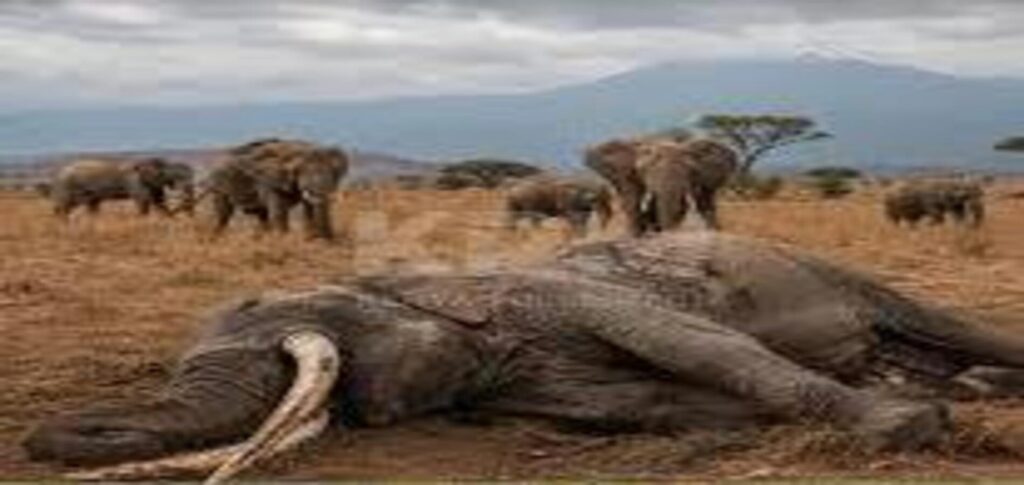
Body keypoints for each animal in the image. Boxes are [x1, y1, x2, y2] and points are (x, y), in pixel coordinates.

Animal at [24, 231, 1024, 482]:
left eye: (264, 309)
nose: (40, 438)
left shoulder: (568, 293)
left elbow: (708, 348)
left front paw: (906, 428)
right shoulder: (519, 377)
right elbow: (628, 403)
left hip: (838, 269)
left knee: (952, 325)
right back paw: (972, 389)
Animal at [47, 158, 195, 218]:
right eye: (178, 176)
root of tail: (59, 173)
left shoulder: (154, 185)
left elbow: (160, 202)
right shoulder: (135, 182)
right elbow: (143, 202)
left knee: (91, 205)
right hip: (68, 186)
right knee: (64, 206)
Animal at [197, 138, 349, 240]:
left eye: (334, 173)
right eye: (300, 172)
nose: (330, 239)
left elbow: (308, 207)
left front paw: (312, 240)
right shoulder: (268, 181)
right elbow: (279, 210)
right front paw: (284, 241)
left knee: (262, 215)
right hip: (220, 186)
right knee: (223, 214)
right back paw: (215, 237)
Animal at [585, 136, 738, 237]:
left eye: (690, 170)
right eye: (644, 170)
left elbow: (697, 201)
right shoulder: (627, 173)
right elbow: (632, 198)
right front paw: (635, 235)